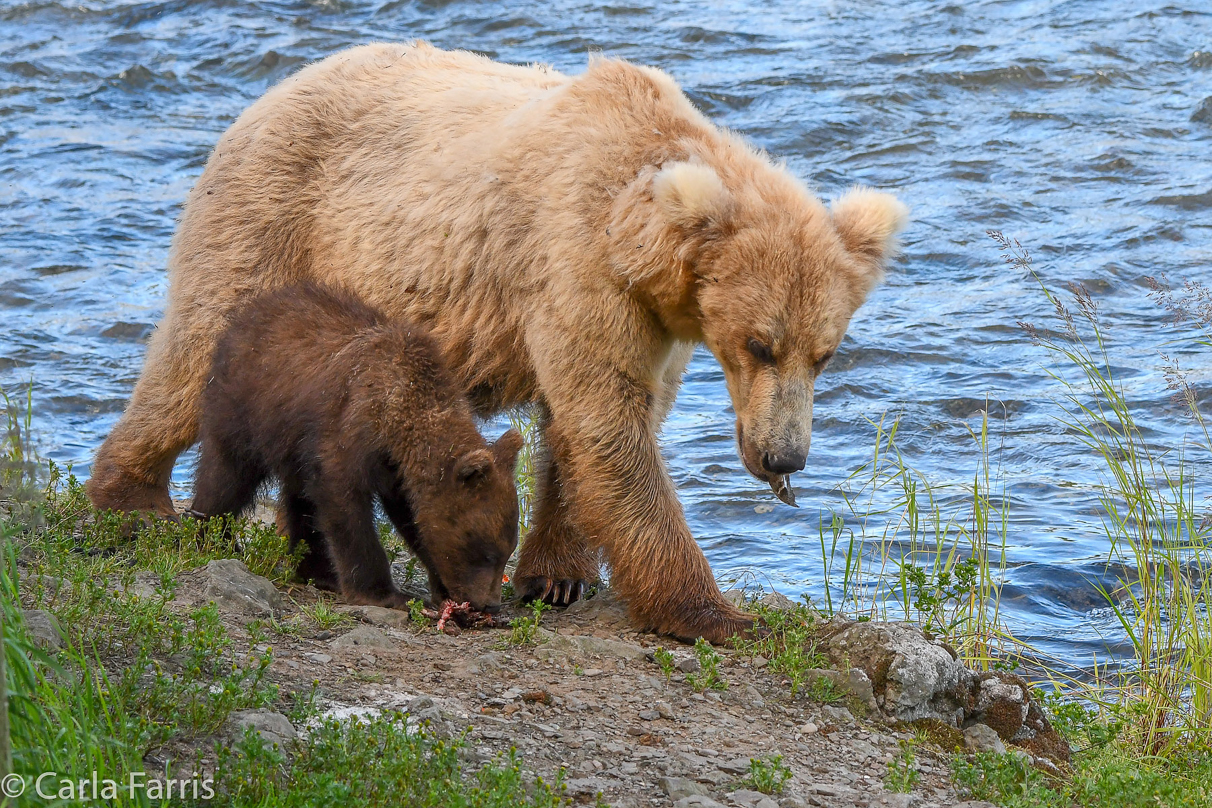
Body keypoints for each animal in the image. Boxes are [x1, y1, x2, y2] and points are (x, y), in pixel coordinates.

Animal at [89, 44, 906, 639]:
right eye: (759, 344)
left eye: (825, 352)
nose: (785, 458)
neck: (638, 241)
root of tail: (268, 93)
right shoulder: (575, 264)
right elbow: (612, 430)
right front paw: (714, 612)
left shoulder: (649, 322)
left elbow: (586, 432)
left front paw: (558, 574)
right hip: (273, 219)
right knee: (193, 352)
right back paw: (132, 497)